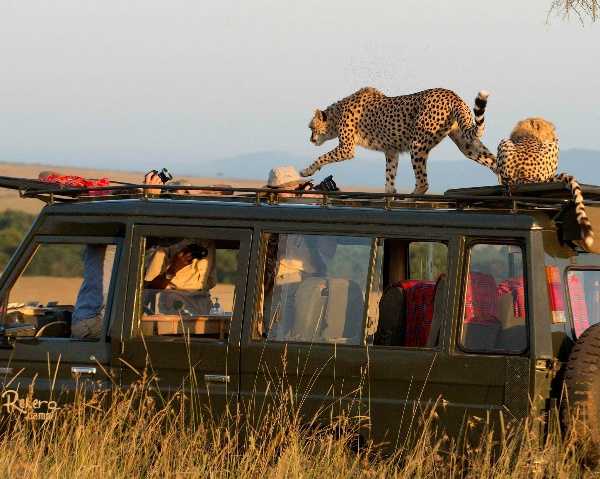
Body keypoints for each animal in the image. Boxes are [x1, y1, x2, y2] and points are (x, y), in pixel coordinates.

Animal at [304, 87, 496, 194]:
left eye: (311, 127)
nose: (311, 139)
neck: (336, 115)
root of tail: (451, 94)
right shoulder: (391, 151)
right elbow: (390, 174)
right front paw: (390, 192)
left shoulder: (346, 149)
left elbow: (322, 157)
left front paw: (306, 171)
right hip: (467, 143)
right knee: (494, 162)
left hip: (417, 144)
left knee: (423, 182)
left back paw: (410, 198)